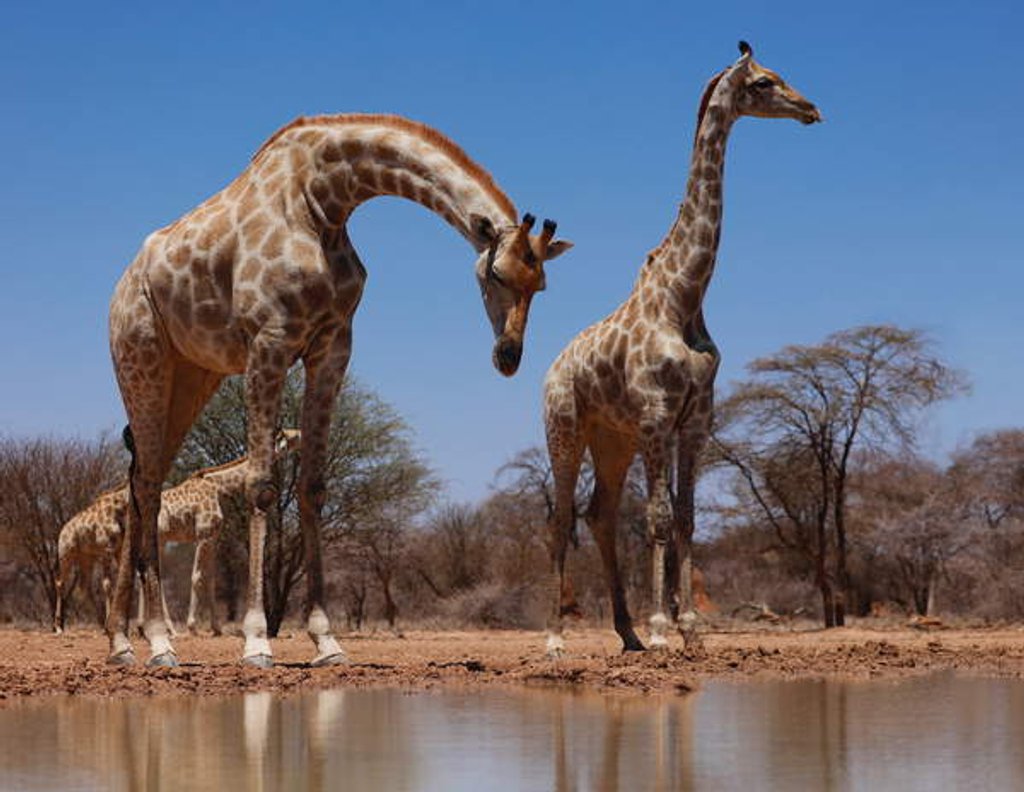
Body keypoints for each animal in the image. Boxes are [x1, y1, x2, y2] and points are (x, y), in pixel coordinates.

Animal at [108, 113, 572, 667]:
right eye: (497, 273)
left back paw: (122, 643)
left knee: (141, 481)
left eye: (541, 285)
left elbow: (313, 487)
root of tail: (121, 288)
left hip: (193, 376)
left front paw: (326, 639)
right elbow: (262, 485)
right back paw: (158, 642)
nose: (508, 357)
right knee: (146, 485)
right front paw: (257, 640)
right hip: (143, 363)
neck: (323, 200)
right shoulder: (269, 341)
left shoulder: (332, 347)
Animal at [542, 42, 820, 656]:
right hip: (565, 429)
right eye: (764, 83)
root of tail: (550, 370)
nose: (811, 109)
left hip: (613, 439)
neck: (684, 295)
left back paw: (625, 634)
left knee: (598, 514)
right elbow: (659, 519)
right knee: (561, 518)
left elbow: (688, 519)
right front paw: (663, 627)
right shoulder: (655, 415)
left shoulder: (694, 420)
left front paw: (690, 627)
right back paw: (555, 639)